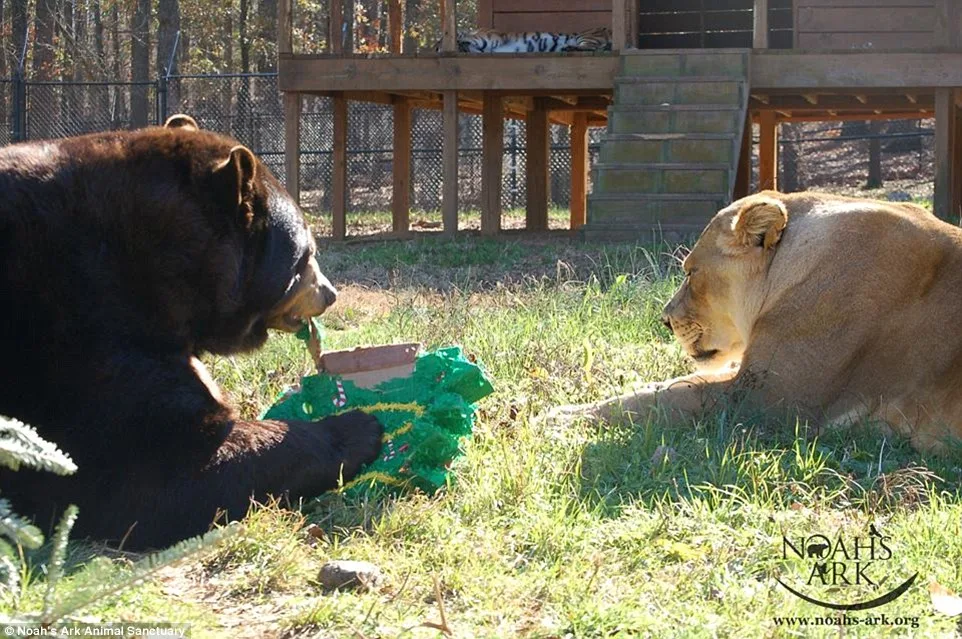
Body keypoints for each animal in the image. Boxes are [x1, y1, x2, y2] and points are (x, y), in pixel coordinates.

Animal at [551, 190, 962, 451]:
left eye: (691, 272)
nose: (666, 320)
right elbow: (664, 386)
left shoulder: (765, 403)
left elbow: (665, 400)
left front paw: (557, 418)